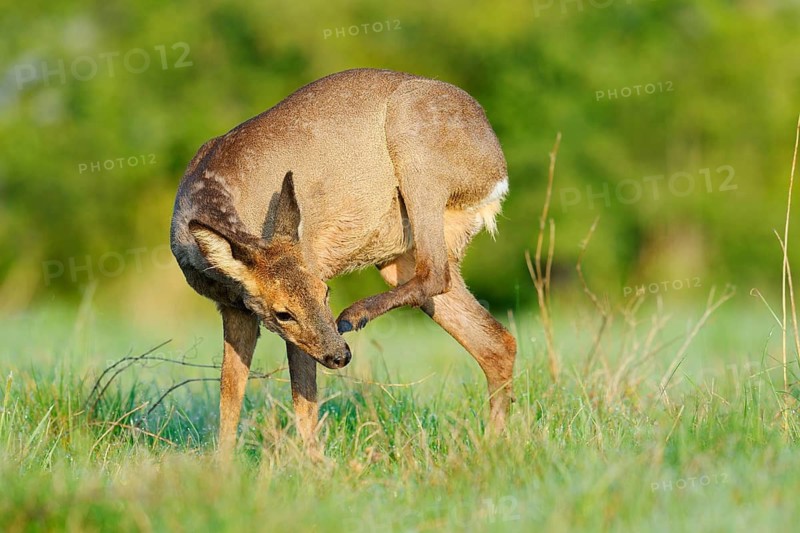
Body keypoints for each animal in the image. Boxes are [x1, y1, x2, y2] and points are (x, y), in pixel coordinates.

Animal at [170, 68, 517, 458]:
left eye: (325, 291)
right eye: (282, 313)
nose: (340, 356)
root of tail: (498, 170)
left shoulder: (309, 258)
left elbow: (303, 398)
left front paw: (315, 464)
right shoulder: (233, 308)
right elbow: (230, 394)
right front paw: (222, 466)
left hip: (416, 147)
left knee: (436, 272)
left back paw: (353, 316)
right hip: (399, 255)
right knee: (496, 341)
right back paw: (491, 445)